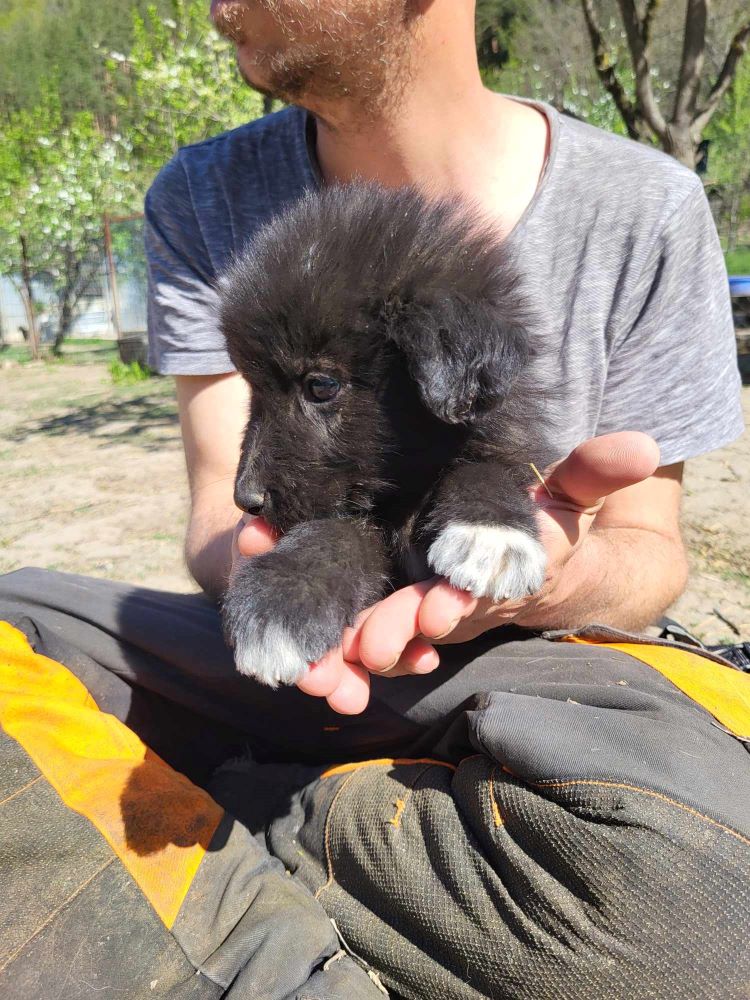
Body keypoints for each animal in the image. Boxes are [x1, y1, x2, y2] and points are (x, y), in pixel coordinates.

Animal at [219, 186, 552, 688]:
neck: (402, 491)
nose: (246, 500)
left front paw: (492, 532)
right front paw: (282, 595)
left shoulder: (506, 442)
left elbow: (485, 469)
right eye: (251, 389)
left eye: (321, 385)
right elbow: (338, 531)